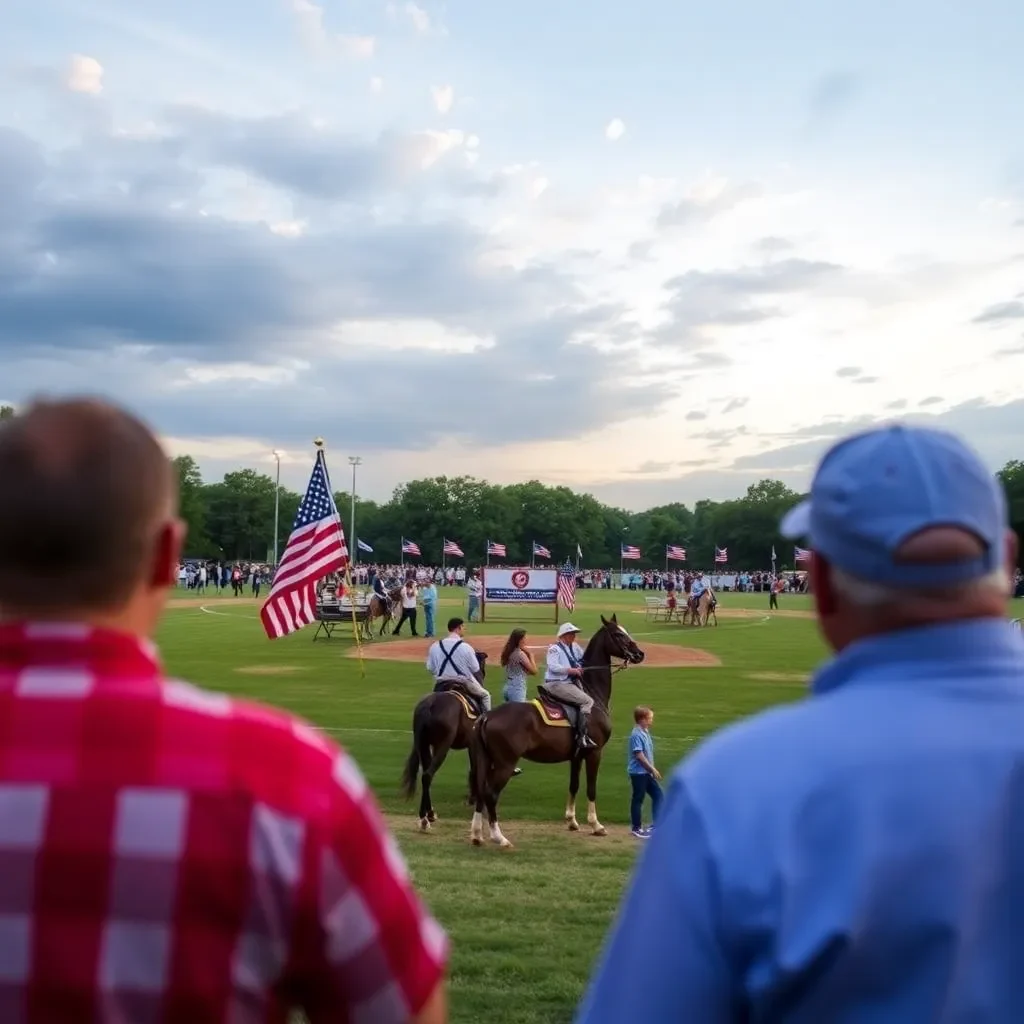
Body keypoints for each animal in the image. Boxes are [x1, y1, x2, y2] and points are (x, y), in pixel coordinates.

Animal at [399, 655, 487, 831]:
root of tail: (429, 705)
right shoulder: (473, 745)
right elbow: (475, 768)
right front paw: (473, 797)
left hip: (424, 746)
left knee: (426, 775)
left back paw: (427, 815)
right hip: (442, 746)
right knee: (428, 775)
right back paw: (426, 817)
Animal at [468, 614, 643, 847]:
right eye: (618, 634)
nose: (640, 654)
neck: (592, 694)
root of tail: (487, 716)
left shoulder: (576, 756)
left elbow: (574, 785)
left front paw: (572, 821)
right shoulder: (594, 753)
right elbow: (591, 788)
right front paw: (596, 825)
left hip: (486, 761)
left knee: (480, 792)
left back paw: (477, 834)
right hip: (505, 764)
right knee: (490, 794)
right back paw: (499, 837)